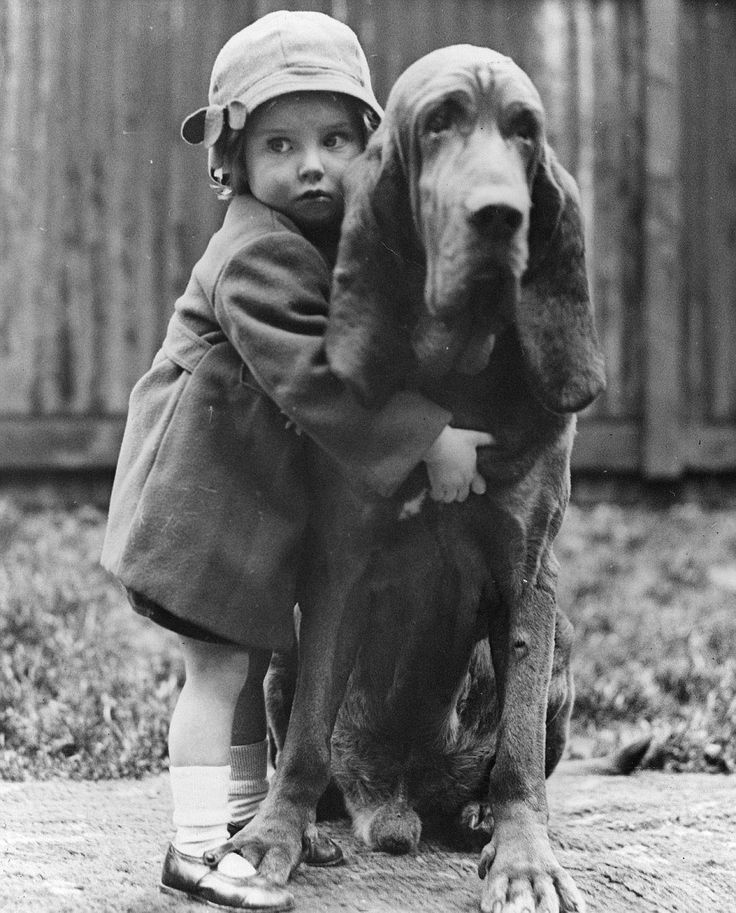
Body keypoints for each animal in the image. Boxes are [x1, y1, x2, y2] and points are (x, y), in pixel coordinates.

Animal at [233, 48, 608, 912]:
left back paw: (474, 815)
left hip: (568, 640)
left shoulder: (527, 572)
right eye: (438, 123)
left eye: (525, 131)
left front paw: (525, 860)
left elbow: (519, 755)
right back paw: (323, 826)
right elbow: (304, 740)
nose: (502, 216)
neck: (455, 373)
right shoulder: (339, 566)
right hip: (280, 643)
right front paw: (274, 836)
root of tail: (393, 801)